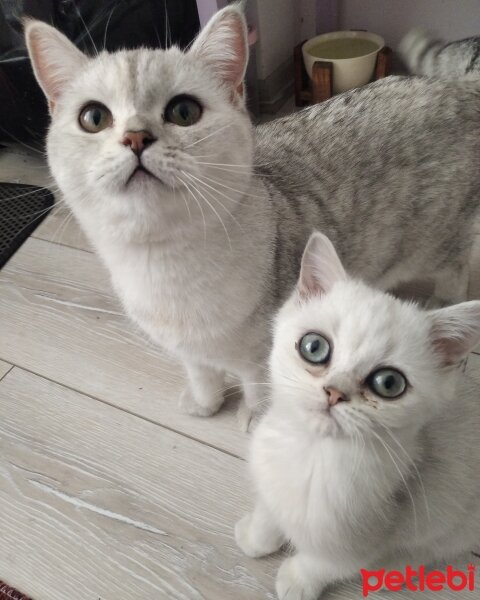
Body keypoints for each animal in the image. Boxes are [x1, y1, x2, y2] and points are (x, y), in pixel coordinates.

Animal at [24, 3, 480, 422]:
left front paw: (257, 418)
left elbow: (259, 389)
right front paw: (204, 405)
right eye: (94, 117)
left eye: (183, 112)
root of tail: (457, 87)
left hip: (439, 243)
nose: (136, 137)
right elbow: (202, 376)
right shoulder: (189, 353)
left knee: (455, 271)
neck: (164, 262)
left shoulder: (264, 353)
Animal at [234, 231, 480, 600]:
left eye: (389, 383)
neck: (312, 456)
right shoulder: (271, 483)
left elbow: (324, 564)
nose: (335, 392)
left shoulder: (364, 542)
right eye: (314, 347)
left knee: (427, 549)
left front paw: (296, 581)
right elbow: (269, 513)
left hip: (456, 522)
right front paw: (256, 537)